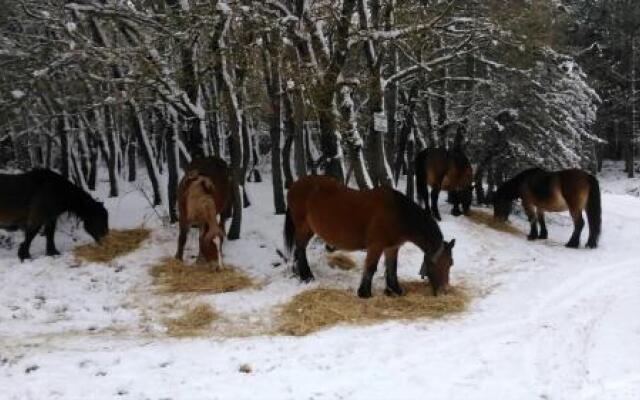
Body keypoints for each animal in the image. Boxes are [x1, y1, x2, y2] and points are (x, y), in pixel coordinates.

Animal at [284, 175, 456, 296]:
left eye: (450, 264)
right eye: (435, 264)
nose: (445, 290)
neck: (398, 214)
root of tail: (294, 186)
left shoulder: (392, 247)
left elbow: (392, 268)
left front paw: (395, 290)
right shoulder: (376, 246)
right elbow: (371, 268)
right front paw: (364, 293)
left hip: (308, 229)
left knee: (299, 250)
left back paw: (299, 273)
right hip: (303, 228)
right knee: (300, 249)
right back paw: (306, 276)